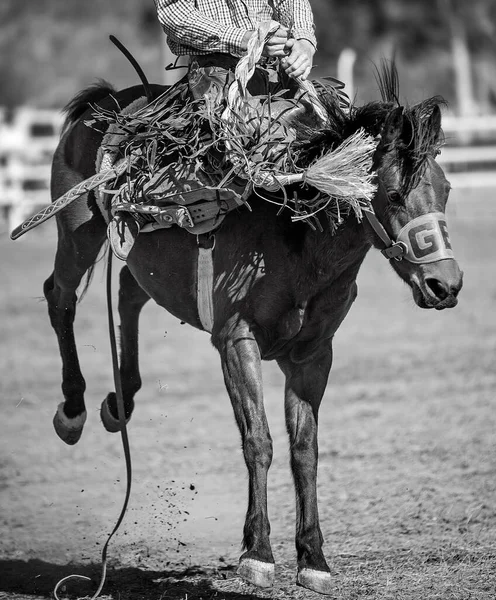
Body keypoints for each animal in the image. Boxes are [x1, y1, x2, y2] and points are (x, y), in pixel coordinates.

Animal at [41, 67, 462, 596]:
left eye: (445, 189)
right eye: (393, 195)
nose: (445, 285)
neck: (293, 235)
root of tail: (107, 102)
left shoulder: (312, 356)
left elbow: (305, 450)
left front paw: (313, 558)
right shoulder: (237, 343)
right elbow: (258, 441)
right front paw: (257, 553)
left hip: (140, 257)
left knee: (127, 292)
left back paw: (122, 400)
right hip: (77, 233)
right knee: (60, 296)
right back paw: (73, 408)